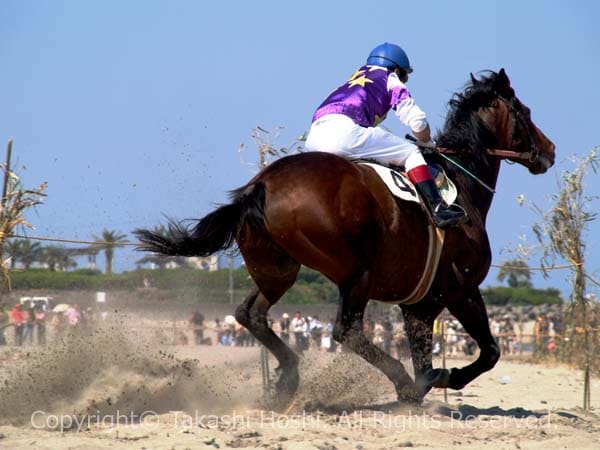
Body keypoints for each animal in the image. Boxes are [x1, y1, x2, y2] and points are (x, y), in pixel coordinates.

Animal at [135, 69, 552, 404]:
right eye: (527, 113)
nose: (549, 150)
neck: (461, 183)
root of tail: (262, 186)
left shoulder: (419, 304)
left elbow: (428, 353)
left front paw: (425, 384)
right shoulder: (458, 290)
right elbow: (488, 352)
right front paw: (441, 377)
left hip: (278, 270)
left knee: (250, 314)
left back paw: (288, 378)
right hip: (356, 275)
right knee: (346, 331)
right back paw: (396, 380)